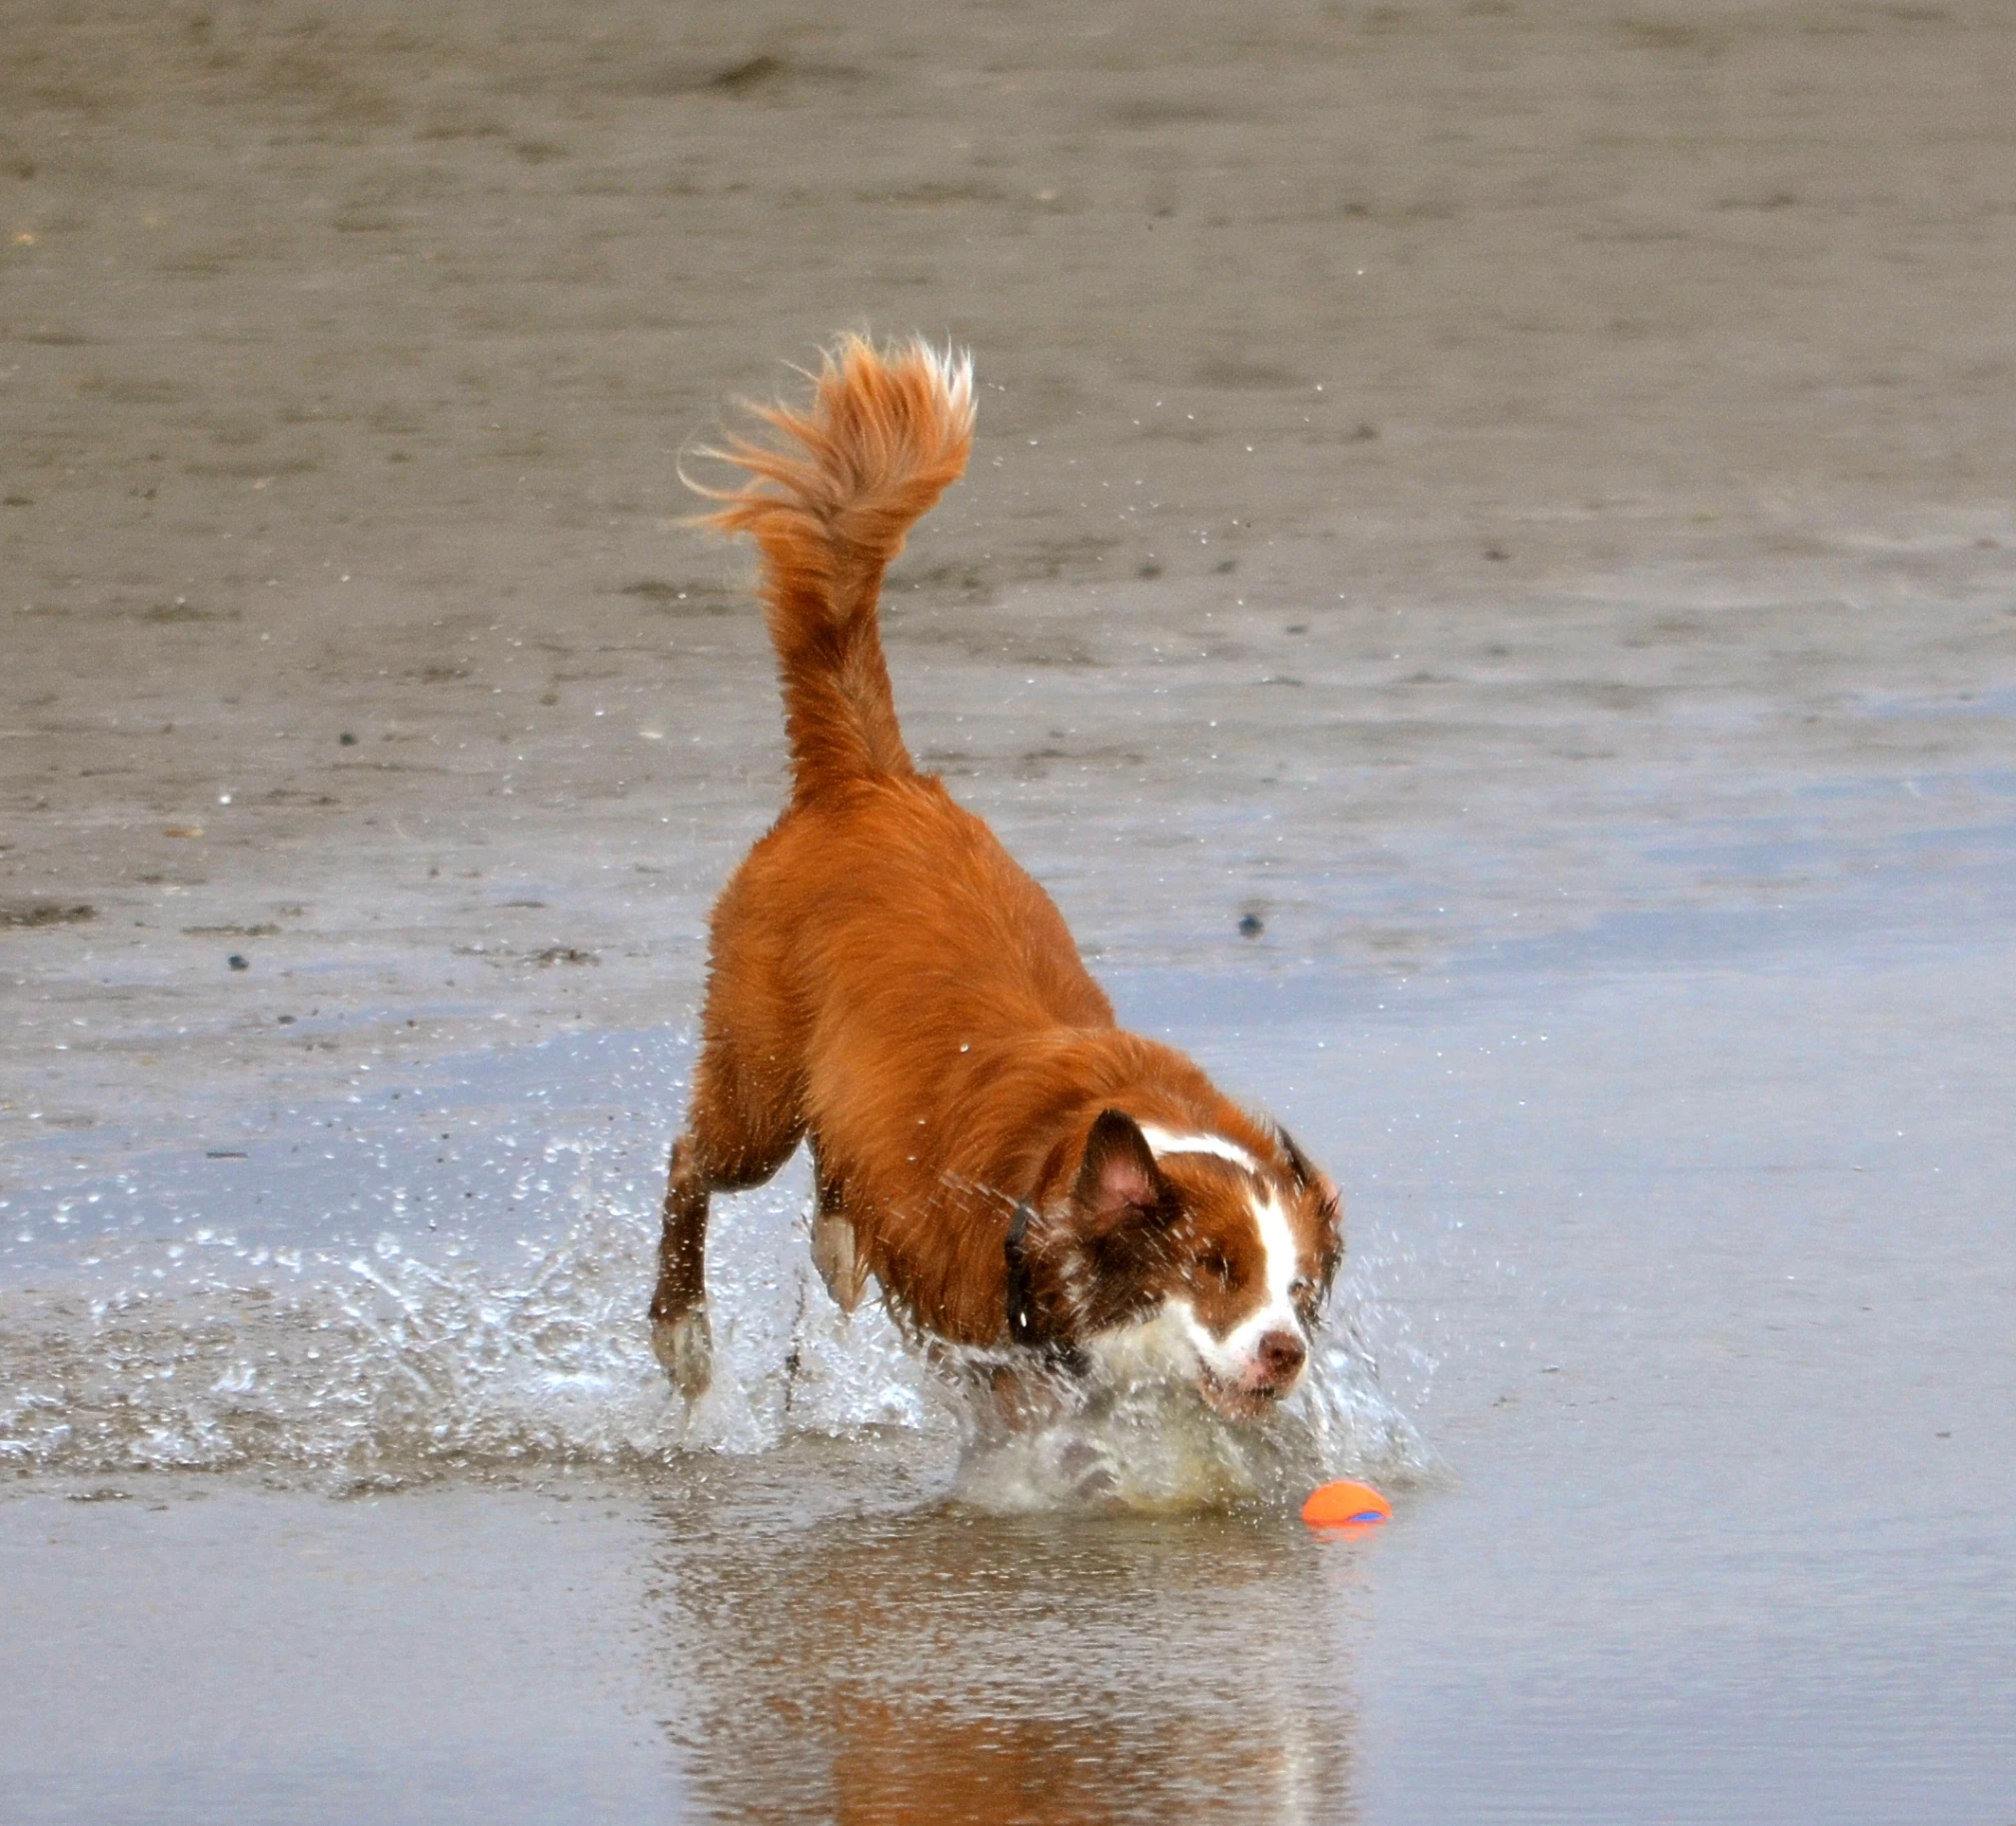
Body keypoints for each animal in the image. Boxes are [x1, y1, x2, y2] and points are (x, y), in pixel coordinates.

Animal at [649, 342, 1338, 1426]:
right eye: (1214, 1266)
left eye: (1300, 1290)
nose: (1283, 1352)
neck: (1062, 1177)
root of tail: (870, 777)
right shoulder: (988, 1348)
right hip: (756, 1080)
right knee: (691, 1159)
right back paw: (682, 1330)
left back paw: (834, 1246)